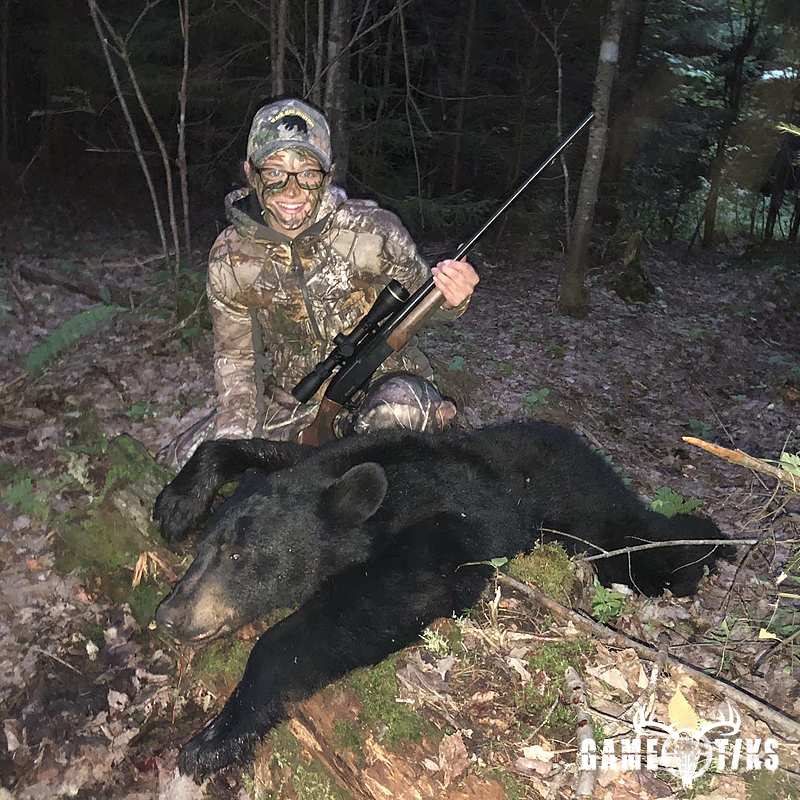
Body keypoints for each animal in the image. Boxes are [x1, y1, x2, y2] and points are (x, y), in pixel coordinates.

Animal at [152, 421, 730, 778]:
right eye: (206, 548)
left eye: (238, 558)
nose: (170, 615)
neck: (393, 482)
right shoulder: (331, 458)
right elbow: (258, 448)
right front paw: (179, 501)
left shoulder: (446, 529)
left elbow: (375, 603)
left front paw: (213, 740)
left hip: (587, 512)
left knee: (639, 546)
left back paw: (709, 544)